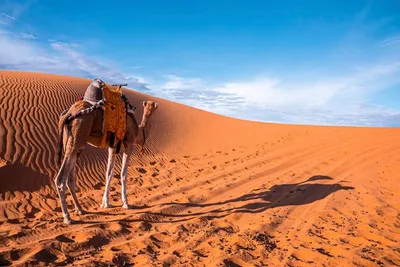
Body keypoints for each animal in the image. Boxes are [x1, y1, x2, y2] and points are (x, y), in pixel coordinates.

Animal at [55, 85, 158, 225]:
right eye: (153, 106)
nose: (153, 105)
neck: (139, 132)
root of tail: (69, 113)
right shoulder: (129, 143)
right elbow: (123, 174)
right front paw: (126, 203)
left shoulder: (112, 146)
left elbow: (109, 172)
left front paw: (105, 203)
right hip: (77, 136)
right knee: (60, 179)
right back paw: (67, 217)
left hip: (71, 142)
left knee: (70, 178)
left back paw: (80, 209)